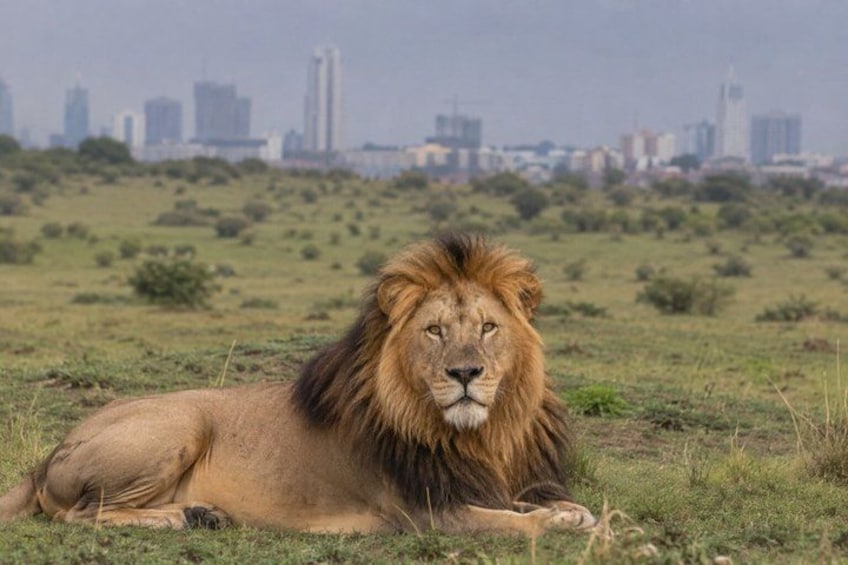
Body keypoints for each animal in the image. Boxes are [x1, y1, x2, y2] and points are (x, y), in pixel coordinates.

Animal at [0, 234, 595, 537]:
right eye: (435, 330)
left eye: (489, 328)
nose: (466, 373)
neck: (474, 435)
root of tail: (47, 456)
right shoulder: (422, 512)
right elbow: (517, 525)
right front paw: (569, 524)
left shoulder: (473, 483)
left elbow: (525, 504)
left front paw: (572, 510)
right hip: (178, 425)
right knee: (80, 514)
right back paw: (183, 516)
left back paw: (200, 514)